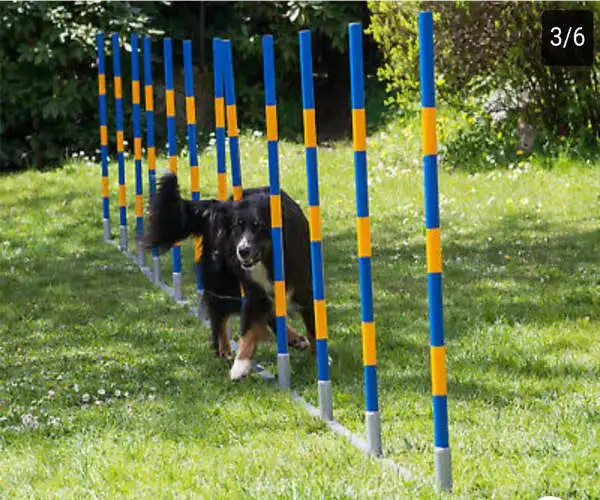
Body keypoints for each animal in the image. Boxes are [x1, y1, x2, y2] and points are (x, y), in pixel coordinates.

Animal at [144, 174, 316, 380]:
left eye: (259, 226)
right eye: (237, 227)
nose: (242, 250)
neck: (268, 260)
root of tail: (218, 206)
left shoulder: (303, 287)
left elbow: (313, 327)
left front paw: (320, 357)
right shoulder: (253, 291)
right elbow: (248, 329)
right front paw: (240, 365)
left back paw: (294, 339)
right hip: (222, 280)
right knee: (218, 313)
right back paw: (223, 349)